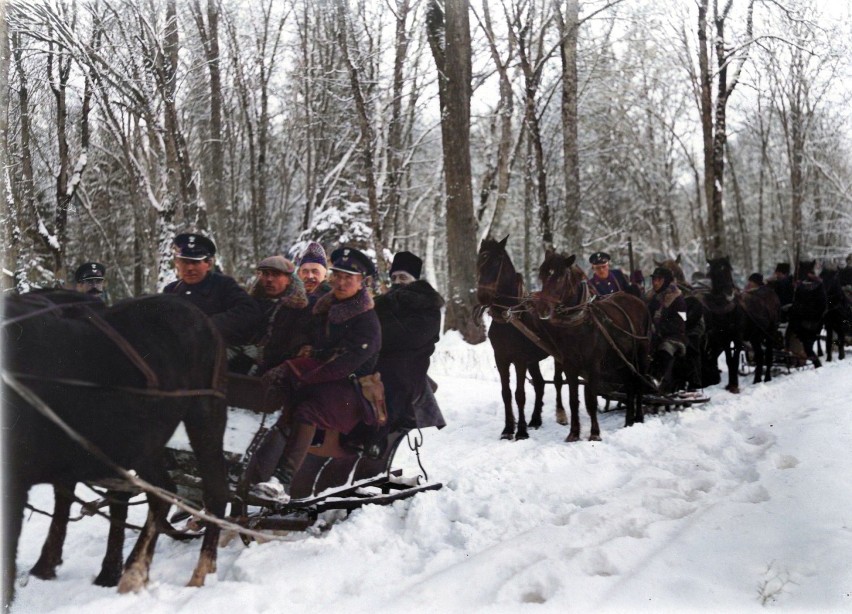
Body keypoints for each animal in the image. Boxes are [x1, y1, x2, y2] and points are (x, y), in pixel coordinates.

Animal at [480, 237, 564, 442]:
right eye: (479, 259)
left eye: (497, 261)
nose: (482, 296)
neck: (508, 317)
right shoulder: (501, 358)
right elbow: (506, 393)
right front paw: (508, 429)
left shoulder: (519, 360)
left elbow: (520, 394)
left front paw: (521, 432)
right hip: (533, 360)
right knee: (540, 384)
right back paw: (535, 420)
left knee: (558, 381)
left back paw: (561, 415)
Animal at [536, 250, 648, 442]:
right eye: (542, 275)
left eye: (560, 277)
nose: (542, 309)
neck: (578, 324)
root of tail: (636, 300)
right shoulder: (570, 365)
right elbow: (574, 400)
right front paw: (573, 433)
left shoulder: (593, 365)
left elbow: (591, 401)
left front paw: (595, 433)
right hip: (621, 359)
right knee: (629, 384)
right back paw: (628, 420)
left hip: (640, 353)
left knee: (638, 382)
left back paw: (638, 417)